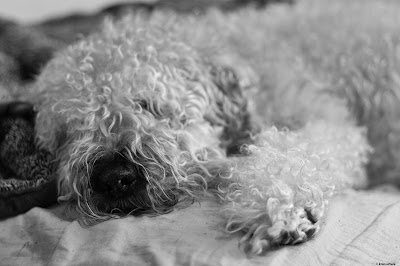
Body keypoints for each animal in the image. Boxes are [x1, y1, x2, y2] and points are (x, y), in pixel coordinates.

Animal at [14, 9, 372, 256]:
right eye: (67, 133)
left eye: (149, 104)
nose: (114, 178)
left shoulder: (327, 119)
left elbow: (293, 152)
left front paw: (278, 210)